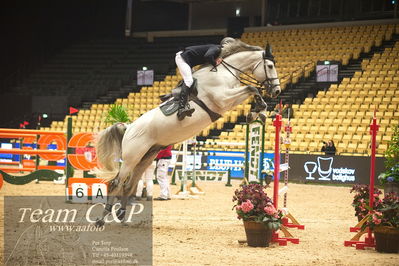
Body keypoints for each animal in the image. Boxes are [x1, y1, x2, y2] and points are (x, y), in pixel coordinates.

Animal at [94, 42, 282, 225]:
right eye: (270, 66)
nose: (277, 91)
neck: (225, 71)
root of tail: (128, 127)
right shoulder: (223, 99)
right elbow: (251, 88)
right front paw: (257, 111)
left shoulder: (229, 100)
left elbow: (252, 91)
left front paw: (259, 112)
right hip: (131, 158)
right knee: (116, 183)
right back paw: (101, 219)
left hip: (146, 157)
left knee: (128, 185)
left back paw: (122, 215)